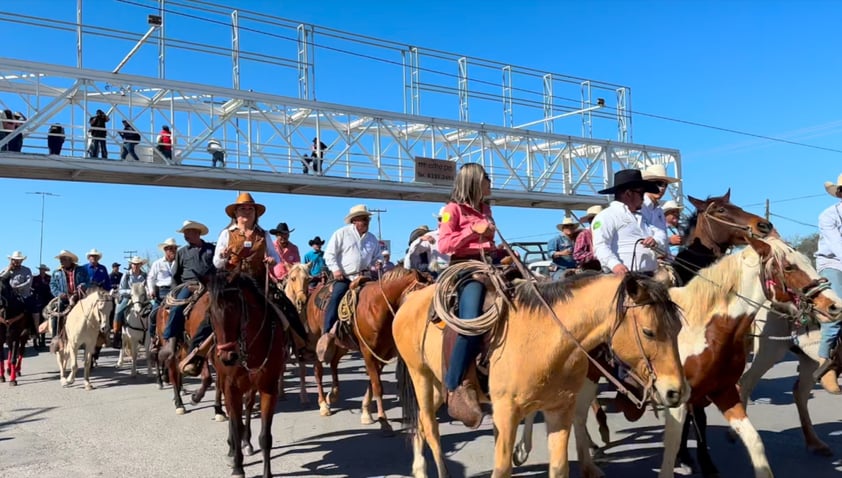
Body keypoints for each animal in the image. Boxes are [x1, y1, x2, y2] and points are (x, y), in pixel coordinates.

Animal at [208, 268, 292, 478]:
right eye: (210, 313)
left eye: (237, 309)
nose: (228, 357)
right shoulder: (231, 387)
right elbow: (235, 424)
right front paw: (238, 467)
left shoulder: (268, 387)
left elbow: (265, 436)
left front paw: (267, 473)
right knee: (233, 416)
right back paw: (232, 449)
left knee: (247, 406)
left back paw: (246, 442)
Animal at [304, 266, 434, 426]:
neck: (378, 308)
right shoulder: (368, 352)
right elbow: (377, 386)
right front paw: (383, 419)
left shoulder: (383, 354)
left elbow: (372, 383)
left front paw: (366, 412)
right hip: (315, 341)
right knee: (318, 371)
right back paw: (323, 404)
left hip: (342, 344)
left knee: (334, 362)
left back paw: (333, 394)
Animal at [390, 272, 684, 478]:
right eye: (648, 332)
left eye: (679, 328)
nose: (676, 391)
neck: (546, 340)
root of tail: (410, 300)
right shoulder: (507, 412)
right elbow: (502, 469)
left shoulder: (559, 410)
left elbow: (559, 467)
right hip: (421, 376)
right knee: (431, 427)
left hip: (439, 385)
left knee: (419, 421)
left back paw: (418, 468)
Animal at [568, 238, 836, 478]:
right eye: (789, 267)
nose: (834, 305)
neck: (706, 329)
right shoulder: (677, 399)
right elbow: (672, 446)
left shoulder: (723, 391)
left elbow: (754, 441)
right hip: (587, 377)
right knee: (578, 416)